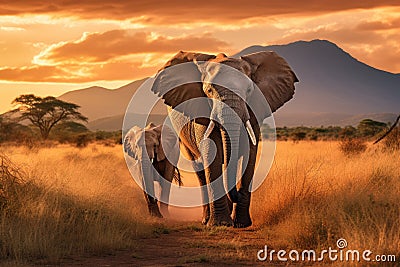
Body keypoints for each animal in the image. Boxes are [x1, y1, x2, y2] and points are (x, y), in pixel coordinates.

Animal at [150, 50, 296, 228]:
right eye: (209, 90)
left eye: (249, 90)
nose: (237, 194)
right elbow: (210, 152)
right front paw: (220, 223)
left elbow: (250, 154)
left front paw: (242, 224)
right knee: (199, 169)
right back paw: (206, 219)